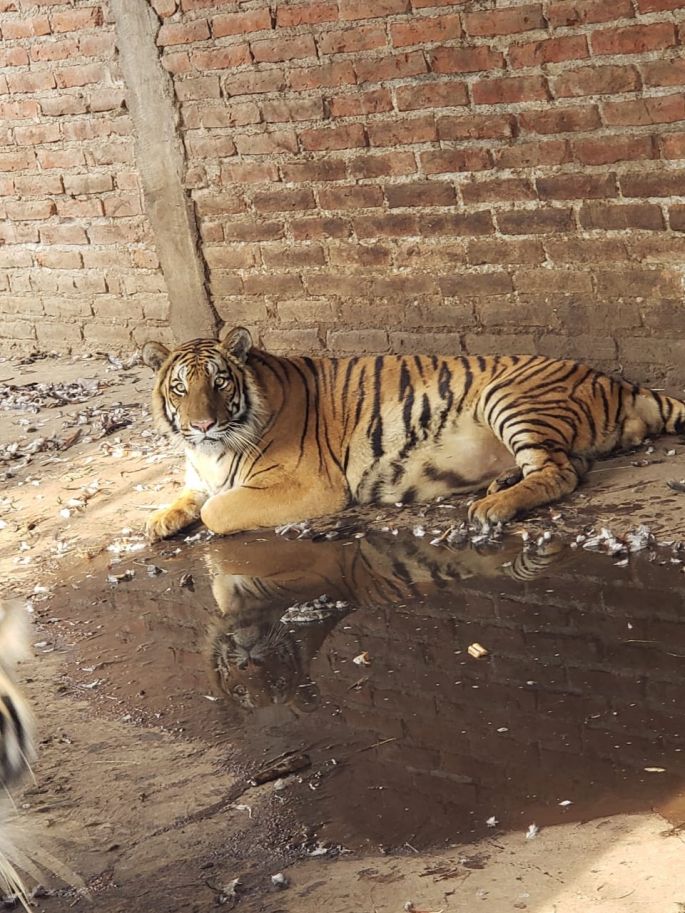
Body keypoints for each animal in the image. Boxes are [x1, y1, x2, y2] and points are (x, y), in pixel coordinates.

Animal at [142, 326, 685, 541]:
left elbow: (215, 511)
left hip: (508, 397)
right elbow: (187, 496)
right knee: (570, 463)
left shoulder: (309, 485)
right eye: (180, 387)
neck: (211, 451)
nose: (201, 424)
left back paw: (492, 506)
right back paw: (501, 483)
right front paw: (159, 520)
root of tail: (614, 380)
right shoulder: (199, 475)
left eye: (219, 382)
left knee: (560, 472)